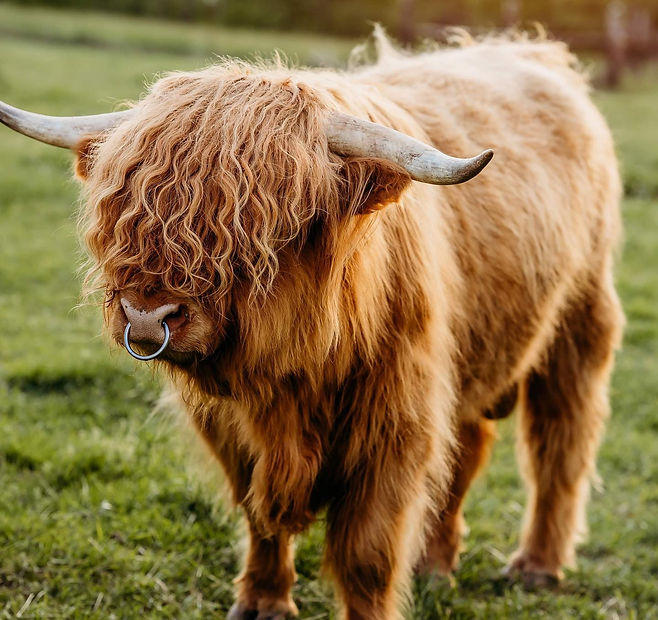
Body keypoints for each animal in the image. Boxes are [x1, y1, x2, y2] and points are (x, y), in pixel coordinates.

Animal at [1, 31, 623, 619]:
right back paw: (436, 564)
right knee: (467, 452)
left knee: (560, 445)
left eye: (265, 226)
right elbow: (260, 516)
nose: (147, 317)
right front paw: (262, 600)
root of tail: (529, 50)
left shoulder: (396, 421)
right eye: (124, 208)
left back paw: (537, 566)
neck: (294, 377)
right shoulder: (233, 429)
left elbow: (367, 552)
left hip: (579, 323)